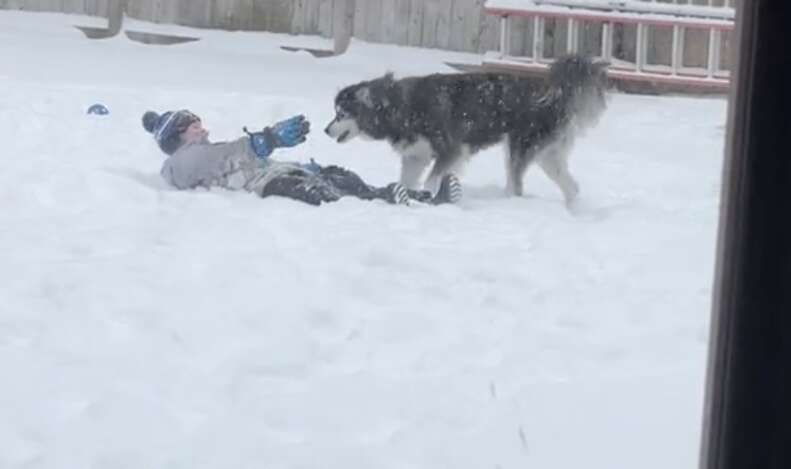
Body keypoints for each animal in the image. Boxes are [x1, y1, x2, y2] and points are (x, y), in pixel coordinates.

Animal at [324, 54, 608, 203]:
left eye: (341, 114)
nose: (326, 130)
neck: (401, 105)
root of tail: (557, 94)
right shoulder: (415, 156)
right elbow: (406, 180)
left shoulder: (450, 150)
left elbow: (431, 180)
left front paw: (430, 196)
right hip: (547, 155)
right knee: (572, 187)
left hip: (519, 149)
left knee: (516, 186)